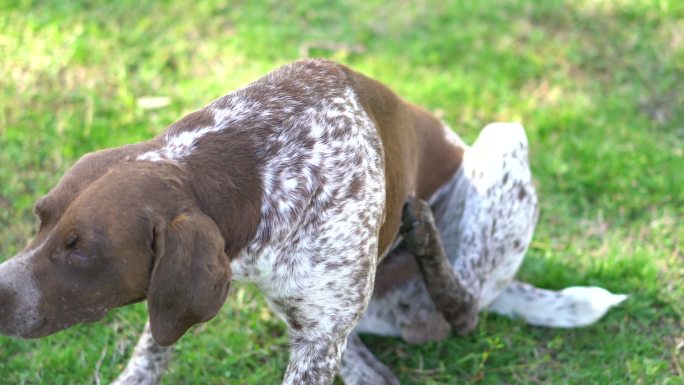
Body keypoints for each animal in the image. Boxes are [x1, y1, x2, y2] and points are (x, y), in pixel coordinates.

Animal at [0, 58, 624, 382]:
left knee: (466, 309)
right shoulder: (198, 294)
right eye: (40, 219)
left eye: (83, 249)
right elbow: (153, 346)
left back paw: (426, 241)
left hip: (500, 139)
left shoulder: (317, 340)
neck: (258, 167)